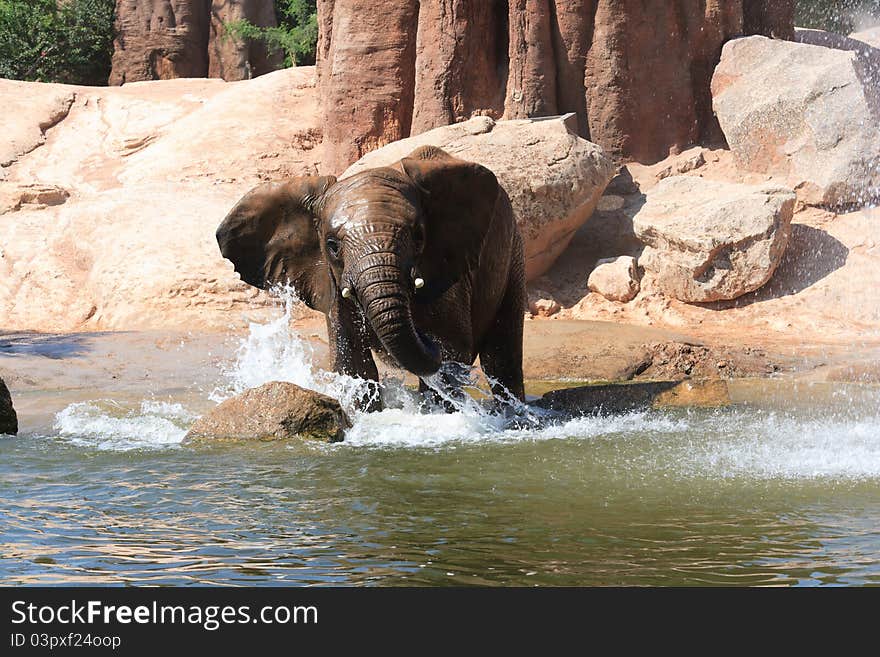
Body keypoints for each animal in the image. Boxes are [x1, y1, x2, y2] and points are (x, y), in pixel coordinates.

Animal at [217, 147, 524, 410]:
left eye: (418, 236)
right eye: (332, 245)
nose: (426, 338)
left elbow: (451, 355)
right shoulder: (331, 280)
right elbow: (352, 361)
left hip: (513, 249)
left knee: (501, 357)